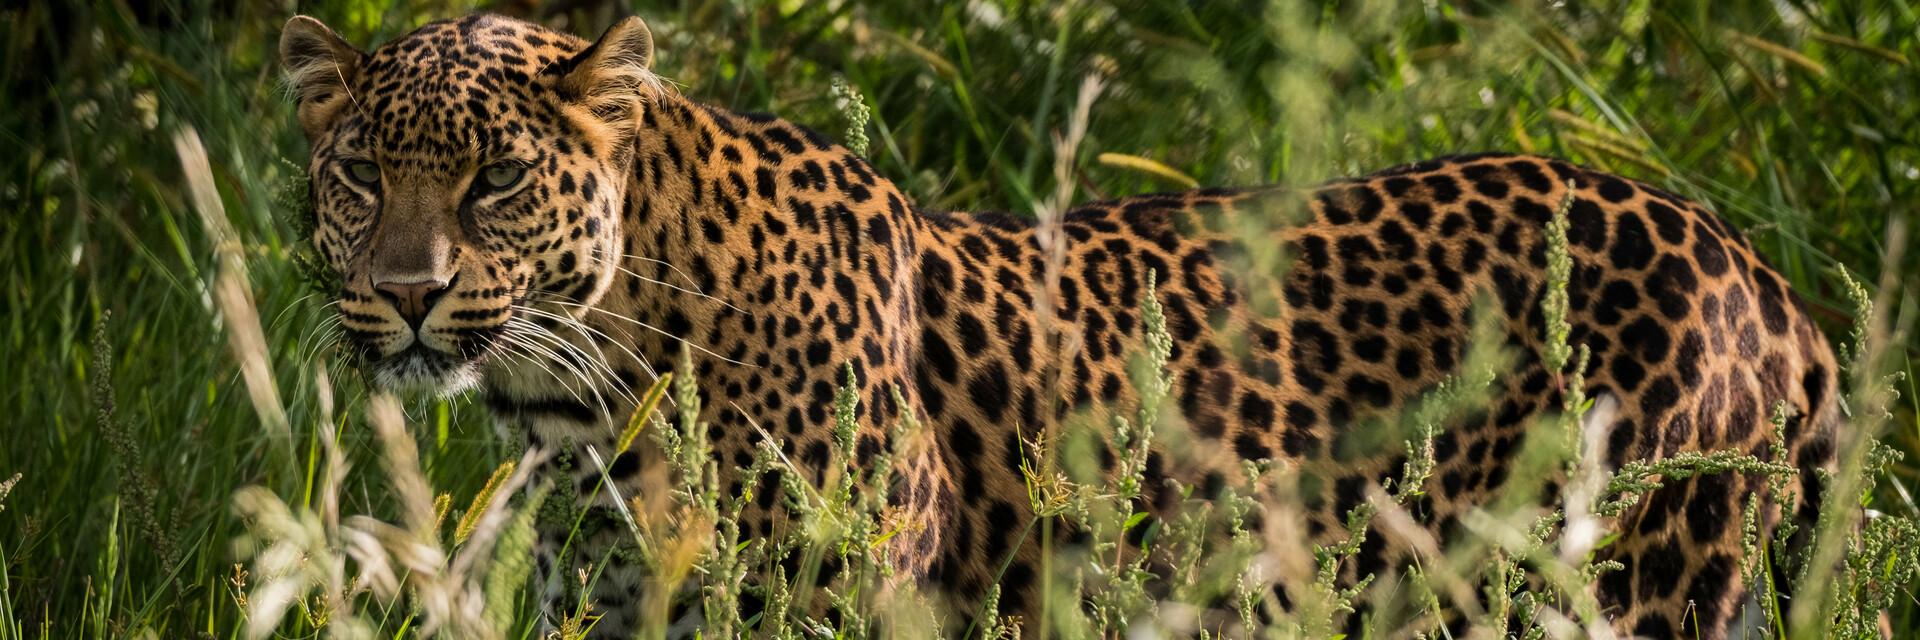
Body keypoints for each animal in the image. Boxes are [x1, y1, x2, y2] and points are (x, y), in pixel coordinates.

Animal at [281, 12, 1841, 638]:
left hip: (1616, 583)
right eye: (359, 173)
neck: (591, 389)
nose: (411, 295)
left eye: (494, 178)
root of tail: (1757, 273)